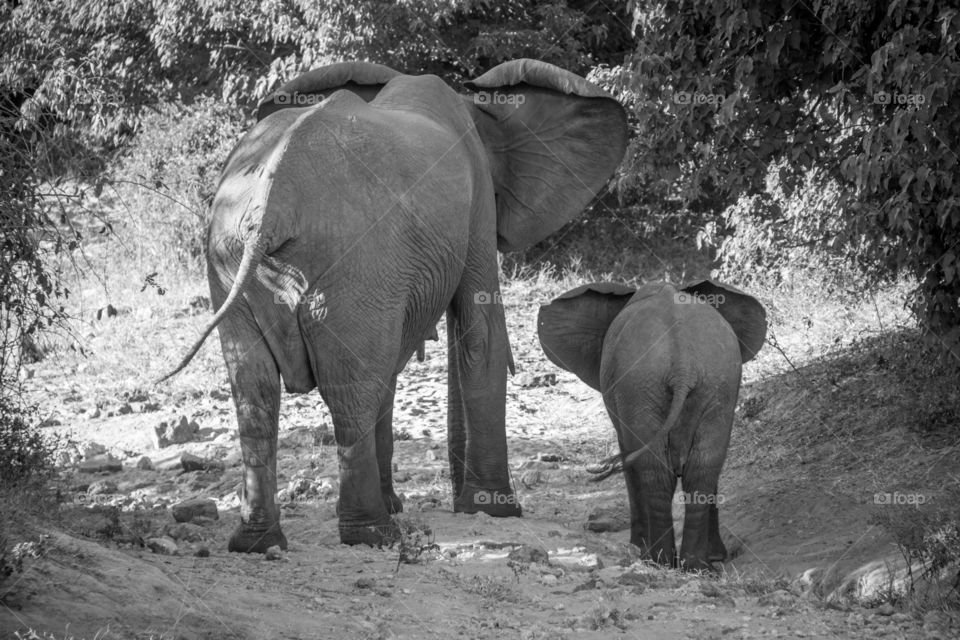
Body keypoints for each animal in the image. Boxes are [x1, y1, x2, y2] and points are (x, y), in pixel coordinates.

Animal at [158, 60, 632, 552]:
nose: (460, 498)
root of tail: (272, 206)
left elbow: (400, 361)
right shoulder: (476, 203)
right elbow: (480, 332)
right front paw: (497, 510)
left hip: (230, 257)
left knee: (257, 388)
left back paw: (259, 541)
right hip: (352, 262)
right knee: (349, 387)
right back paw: (372, 533)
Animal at [540, 280, 764, 568]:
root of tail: (682, 366)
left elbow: (630, 462)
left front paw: (636, 547)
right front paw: (716, 557)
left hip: (643, 386)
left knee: (656, 473)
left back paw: (658, 560)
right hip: (712, 384)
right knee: (701, 469)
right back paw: (696, 566)